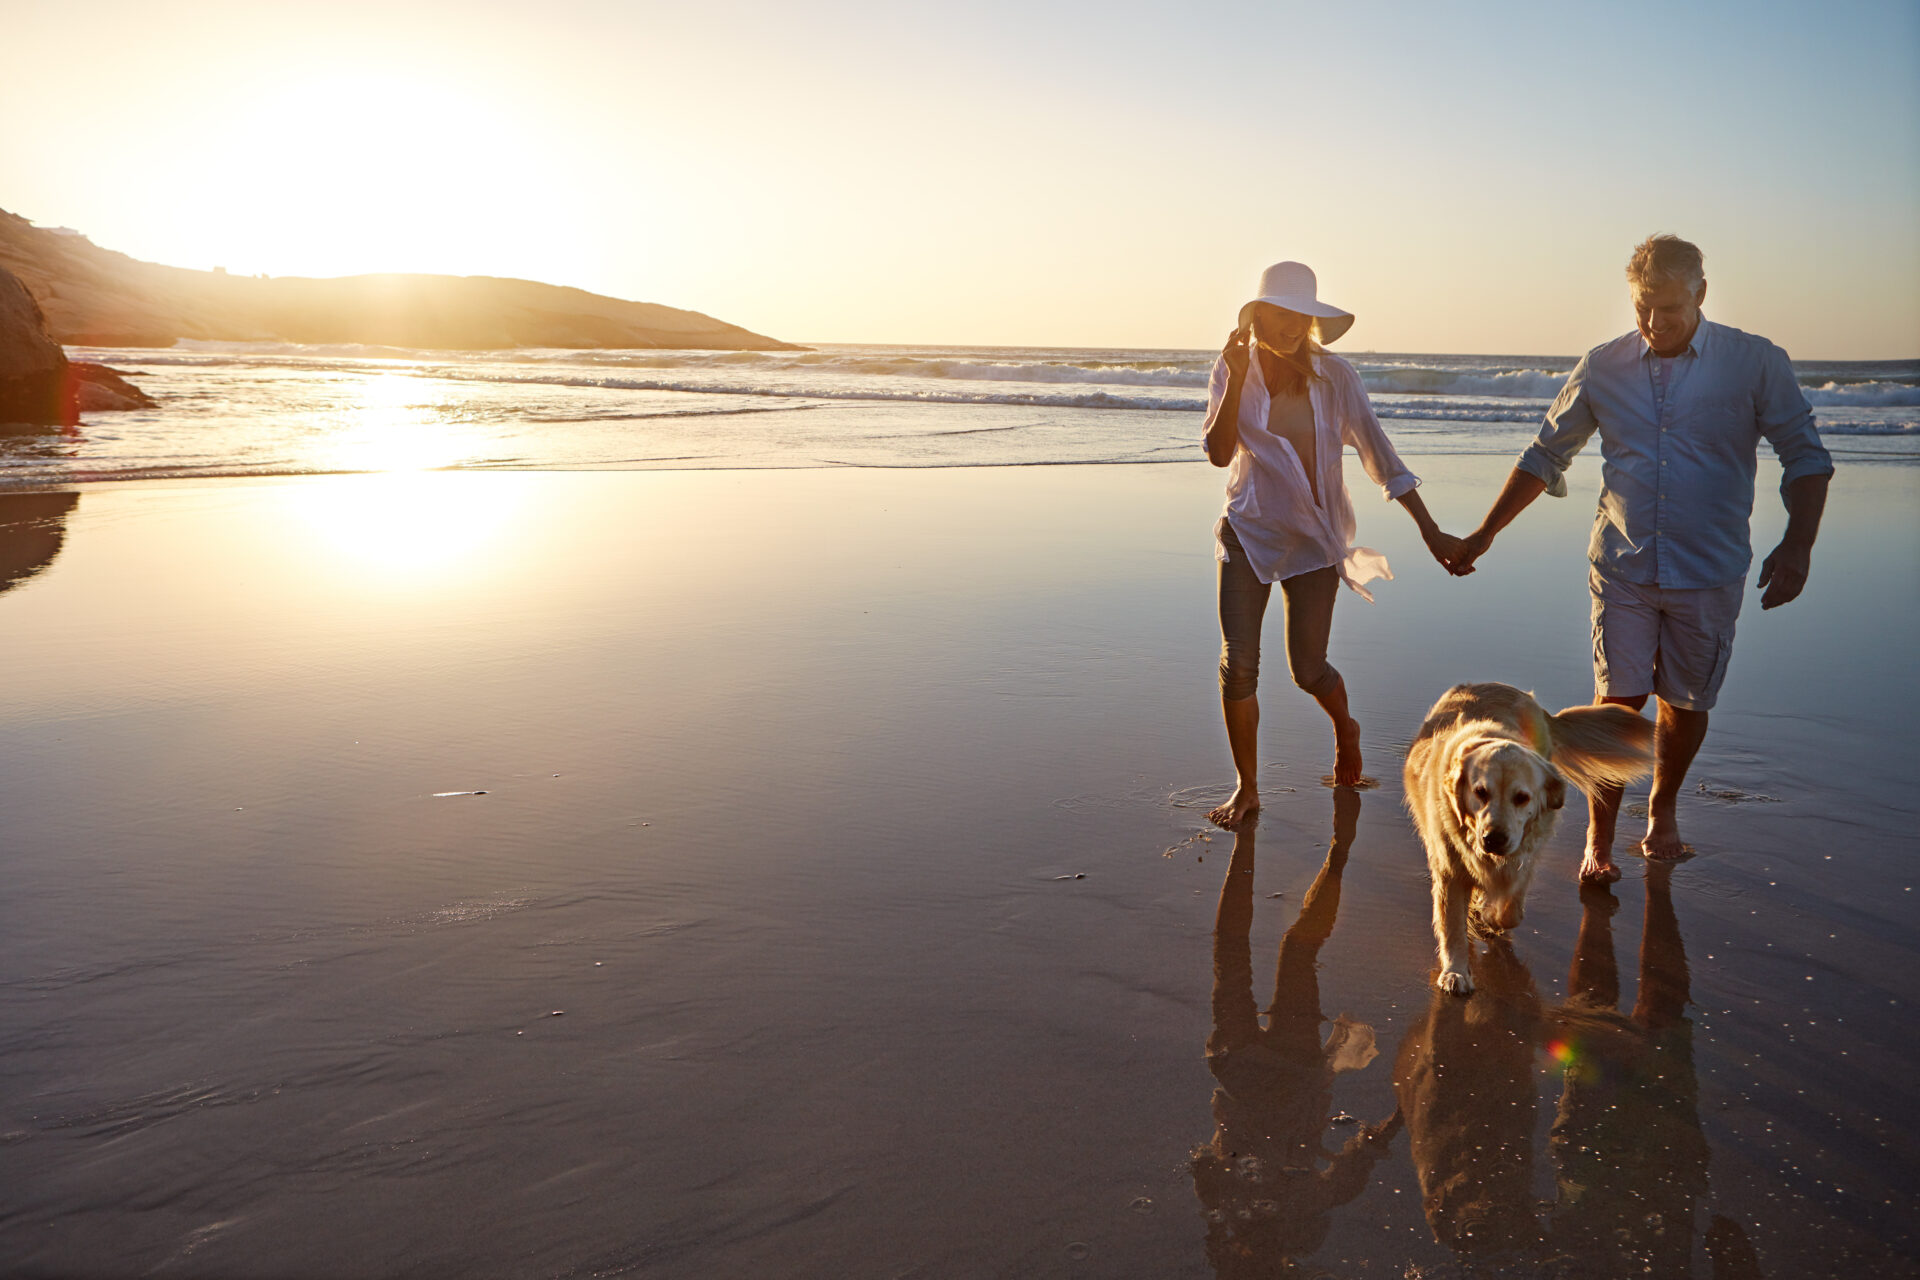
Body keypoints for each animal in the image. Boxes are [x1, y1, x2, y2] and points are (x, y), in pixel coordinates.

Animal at [1405, 687, 1658, 997]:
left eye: (1522, 798)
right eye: (1480, 792)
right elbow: (1452, 927)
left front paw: (1490, 915)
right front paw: (1455, 972)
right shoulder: (1450, 870)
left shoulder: (1525, 856)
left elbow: (1511, 910)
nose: (1493, 839)